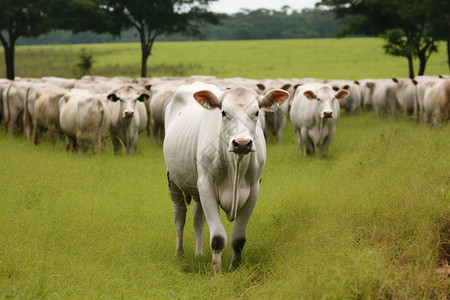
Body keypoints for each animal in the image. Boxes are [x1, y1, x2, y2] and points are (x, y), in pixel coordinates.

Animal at [163, 82, 290, 272]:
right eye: (223, 112)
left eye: (257, 112)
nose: (242, 143)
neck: (235, 167)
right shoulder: (206, 186)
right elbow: (217, 238)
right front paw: (215, 270)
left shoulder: (254, 189)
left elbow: (238, 238)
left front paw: (234, 268)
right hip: (173, 180)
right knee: (180, 217)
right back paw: (179, 254)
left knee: (198, 219)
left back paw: (199, 254)